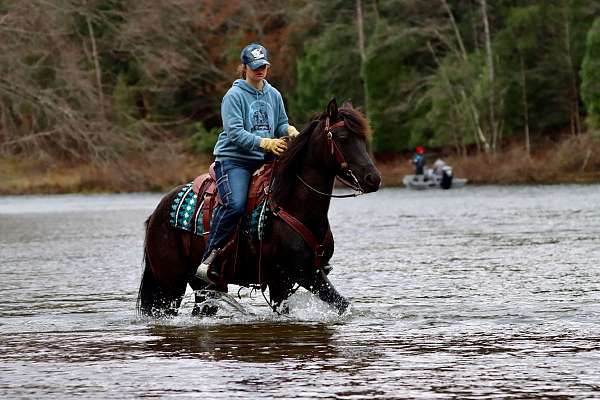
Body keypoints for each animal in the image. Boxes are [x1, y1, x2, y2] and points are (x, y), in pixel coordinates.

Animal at [137, 98, 380, 318]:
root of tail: (156, 212)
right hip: (170, 284)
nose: (373, 178)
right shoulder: (298, 275)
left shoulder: (291, 279)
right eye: (342, 138)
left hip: (204, 286)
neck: (292, 205)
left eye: (362, 137)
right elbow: (340, 304)